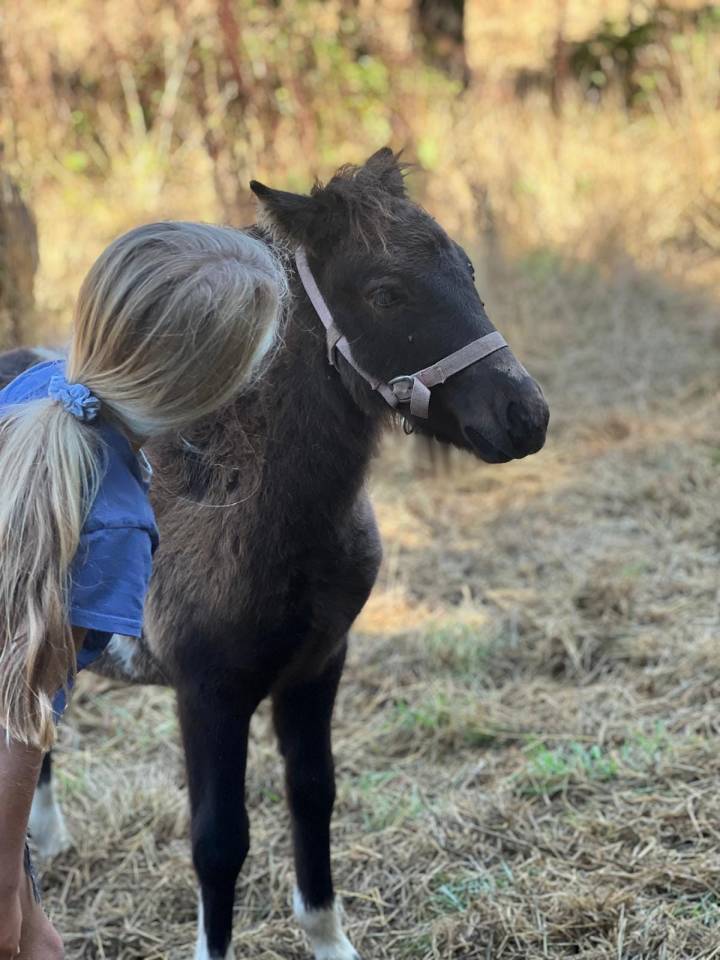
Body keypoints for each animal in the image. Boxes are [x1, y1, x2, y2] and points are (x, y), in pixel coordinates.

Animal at [7, 149, 548, 960]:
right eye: (384, 292)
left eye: (467, 268)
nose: (526, 416)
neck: (250, 505)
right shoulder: (208, 694)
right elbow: (218, 841)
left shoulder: (319, 665)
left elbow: (313, 794)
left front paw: (330, 940)